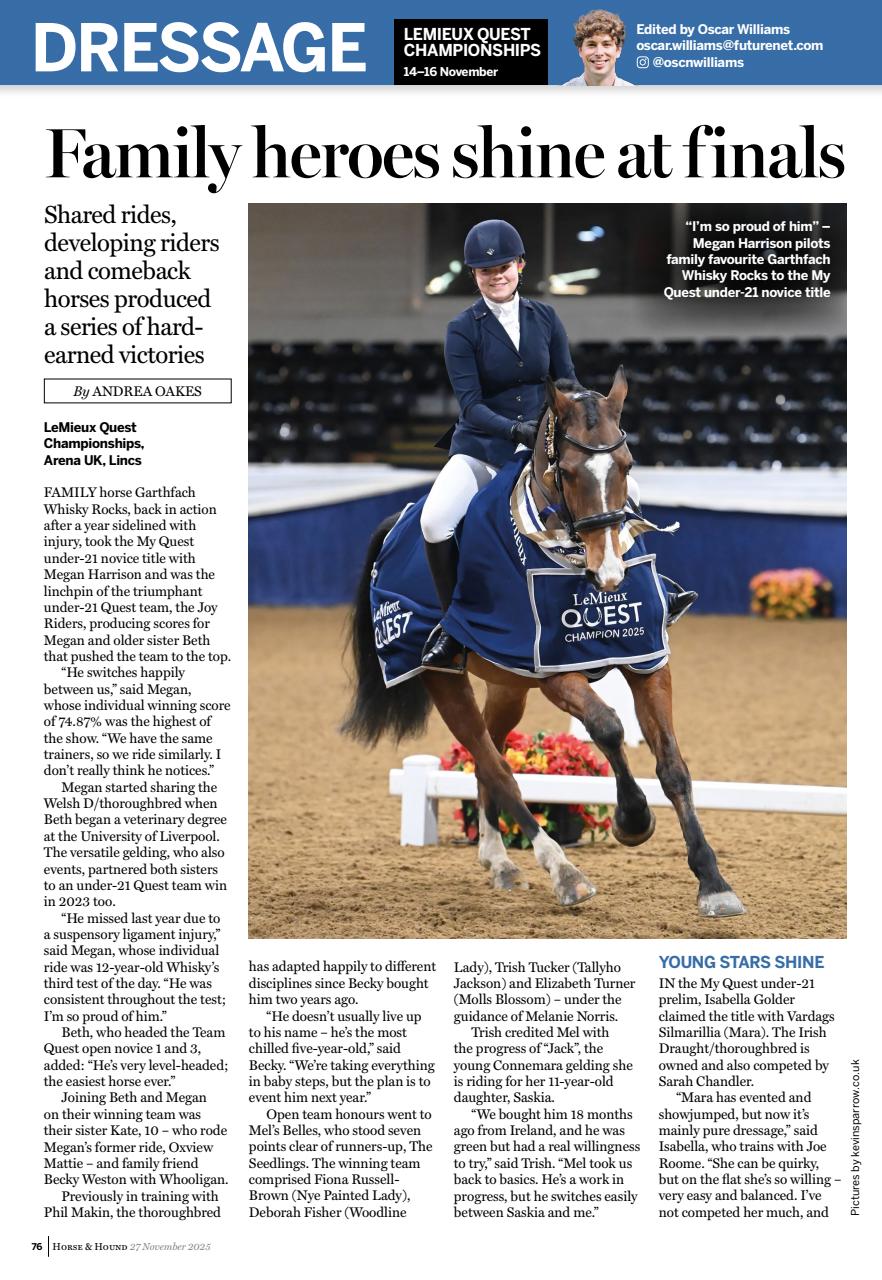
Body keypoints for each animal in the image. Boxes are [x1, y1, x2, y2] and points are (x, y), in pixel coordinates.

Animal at [342, 371, 746, 919]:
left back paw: (499, 861)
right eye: (570, 473)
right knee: (496, 766)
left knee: (487, 758)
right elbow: (608, 727)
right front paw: (633, 820)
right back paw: (564, 873)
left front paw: (713, 881)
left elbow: (674, 768)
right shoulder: (555, 674)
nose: (609, 574)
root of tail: (400, 521)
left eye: (627, 466)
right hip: (442, 680)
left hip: (508, 686)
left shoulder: (647, 662)